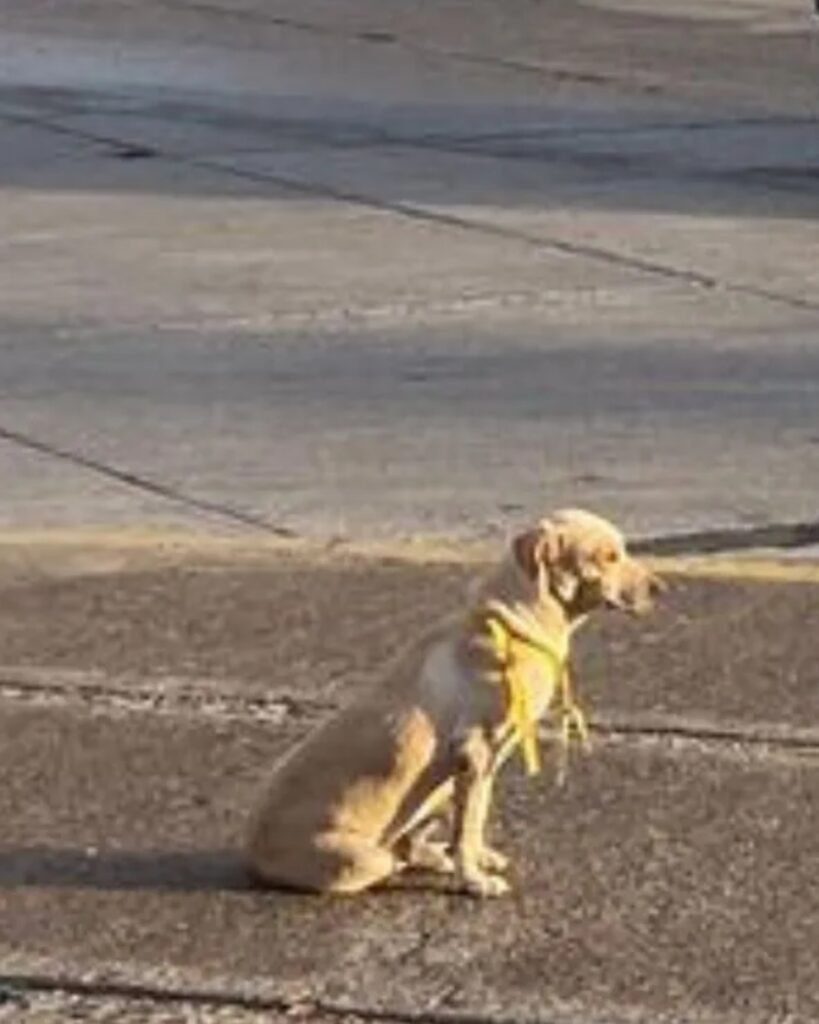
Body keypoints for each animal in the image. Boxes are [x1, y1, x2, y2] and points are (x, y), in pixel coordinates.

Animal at [243, 512, 659, 897]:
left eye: (623, 549)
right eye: (608, 556)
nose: (662, 588)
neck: (516, 623)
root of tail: (252, 848)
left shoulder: (485, 764)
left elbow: (475, 821)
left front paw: (477, 860)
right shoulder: (474, 752)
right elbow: (468, 828)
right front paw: (474, 881)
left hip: (436, 789)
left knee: (411, 842)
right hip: (364, 855)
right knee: (391, 859)